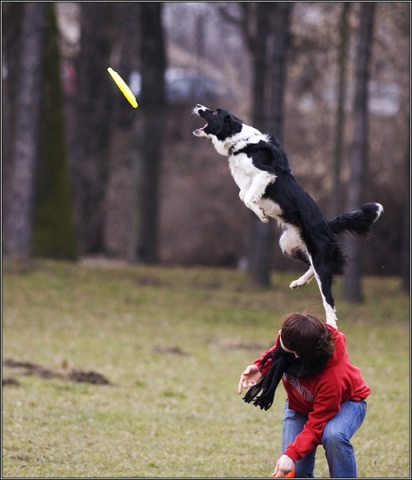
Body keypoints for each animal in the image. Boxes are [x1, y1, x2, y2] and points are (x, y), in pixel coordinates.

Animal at [193, 105, 384, 328]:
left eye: (215, 112)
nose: (198, 106)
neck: (239, 140)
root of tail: (327, 225)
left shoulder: (266, 173)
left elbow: (248, 197)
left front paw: (261, 214)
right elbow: (243, 195)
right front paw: (260, 209)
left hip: (317, 252)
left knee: (328, 298)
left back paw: (331, 324)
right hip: (289, 243)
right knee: (313, 268)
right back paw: (299, 282)